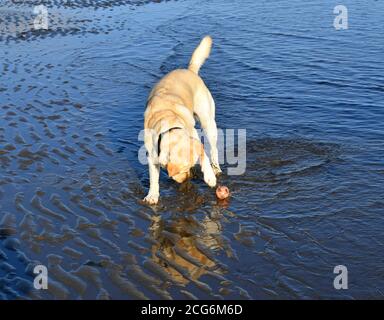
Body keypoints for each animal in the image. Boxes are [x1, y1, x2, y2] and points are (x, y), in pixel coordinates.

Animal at [143, 35, 222, 205]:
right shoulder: (151, 155)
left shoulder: (195, 140)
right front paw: (152, 195)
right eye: (183, 170)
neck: (169, 123)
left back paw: (216, 168)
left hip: (208, 121)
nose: (189, 177)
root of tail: (189, 70)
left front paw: (209, 177)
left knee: (213, 149)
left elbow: (204, 156)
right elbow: (153, 178)